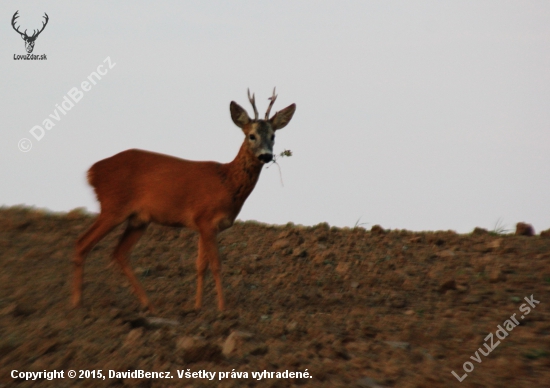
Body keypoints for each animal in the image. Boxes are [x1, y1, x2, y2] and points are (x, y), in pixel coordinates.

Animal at [74, 88, 298, 312]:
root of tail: (91, 172)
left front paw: (197, 307)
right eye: (251, 136)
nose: (266, 156)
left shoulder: (203, 225)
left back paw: (149, 305)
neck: (226, 181)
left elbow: (200, 266)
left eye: (273, 136)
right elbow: (216, 265)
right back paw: (77, 303)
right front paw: (222, 309)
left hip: (138, 219)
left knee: (119, 253)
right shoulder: (206, 219)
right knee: (83, 242)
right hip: (113, 206)